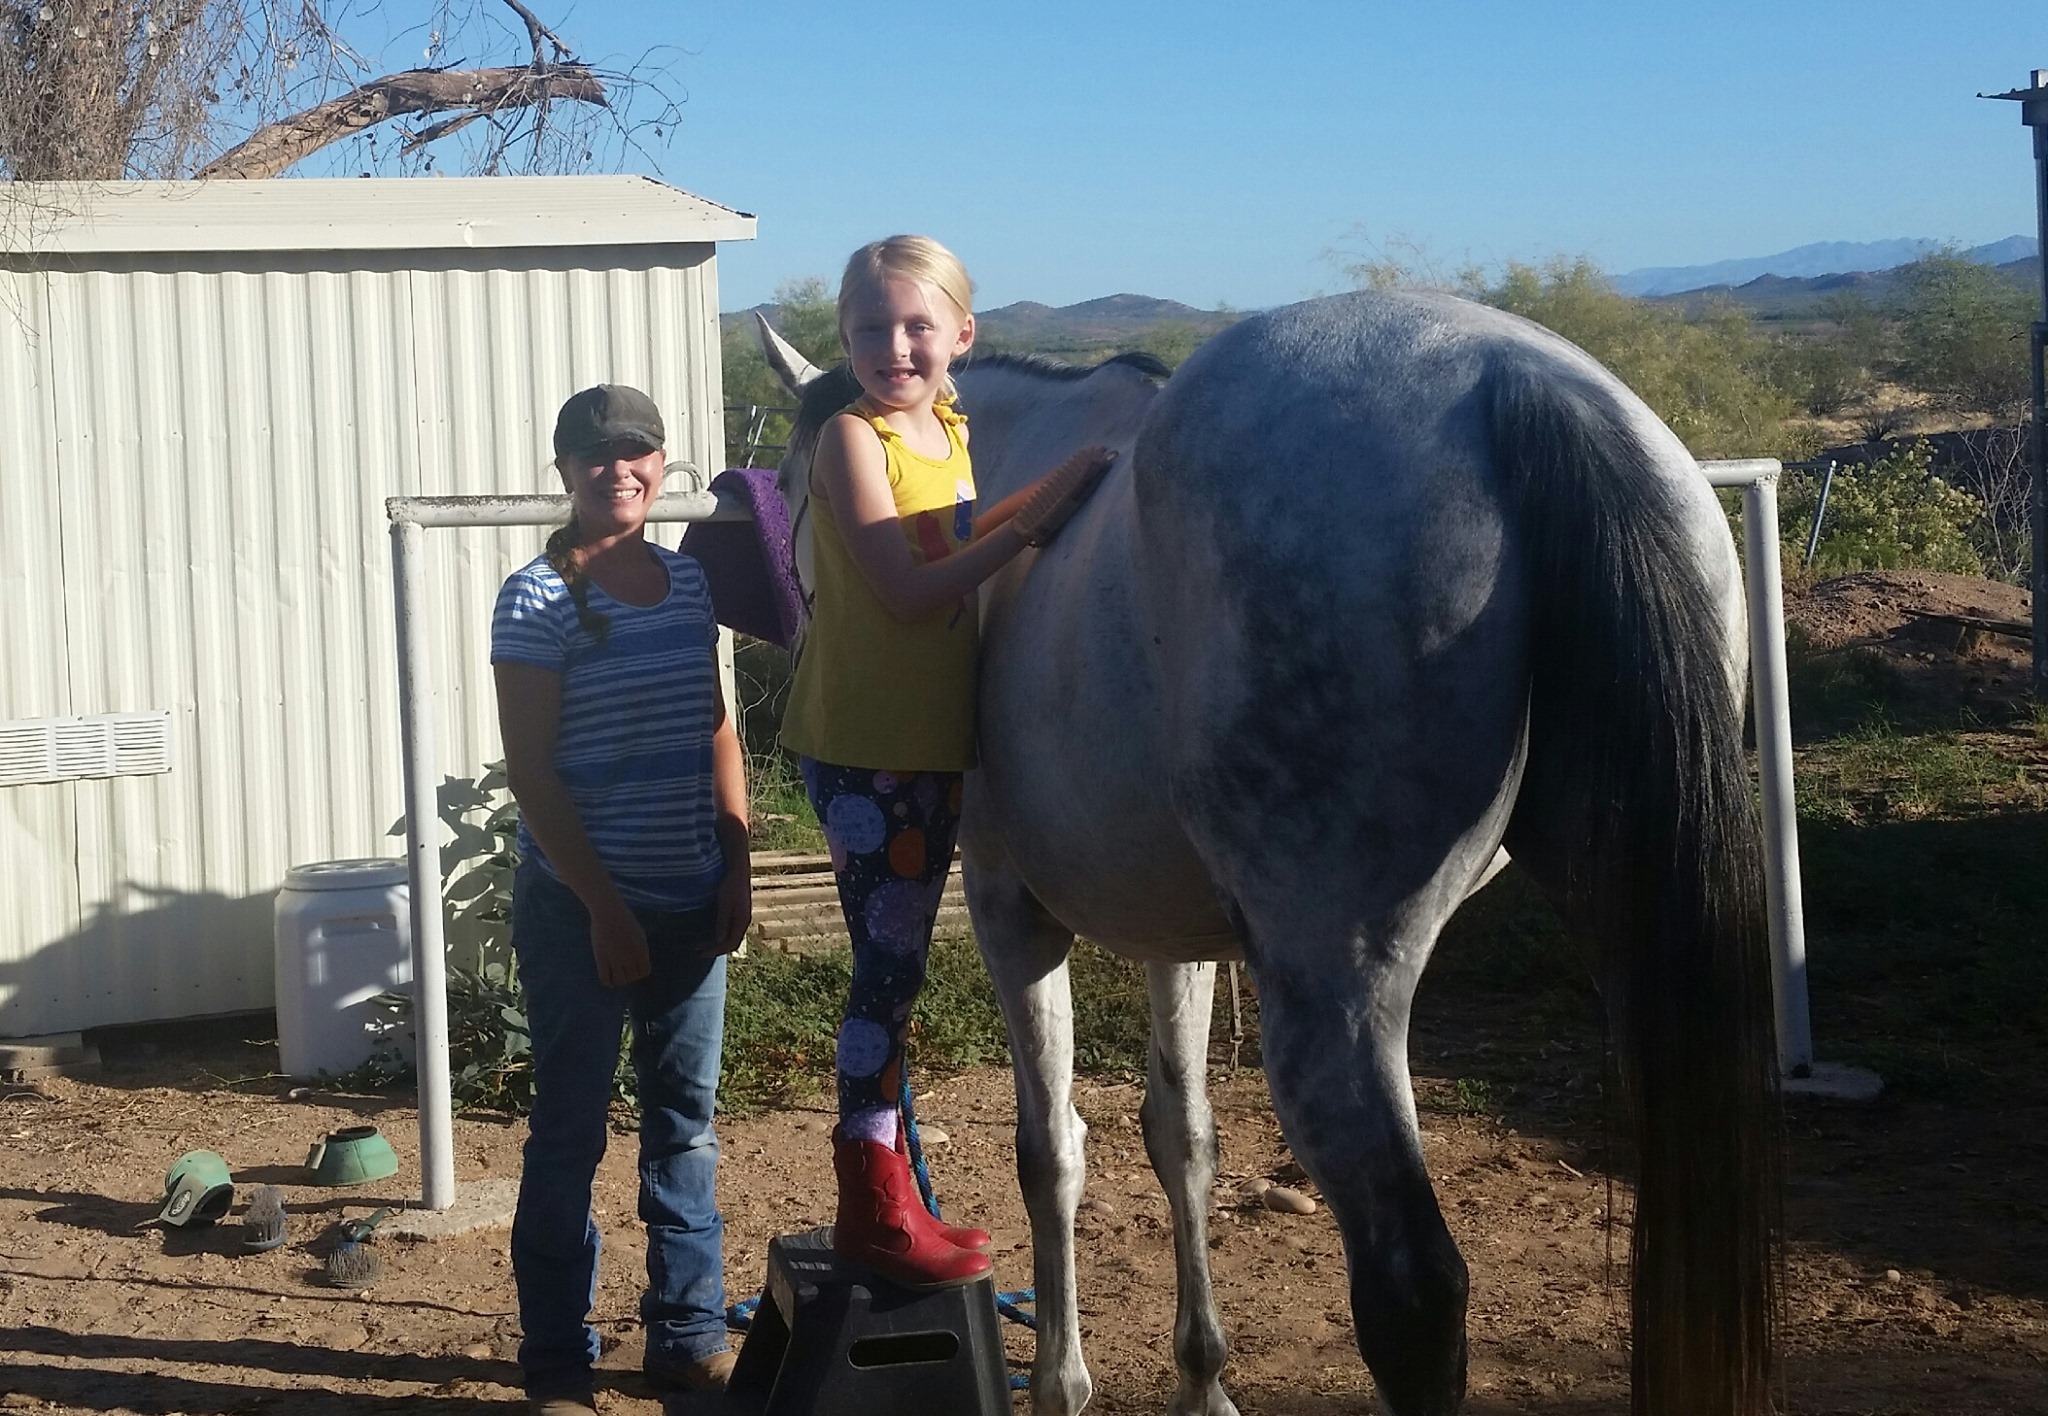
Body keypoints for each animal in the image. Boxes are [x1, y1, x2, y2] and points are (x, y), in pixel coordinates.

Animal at [756, 289, 1779, 1416]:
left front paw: (1060, 1382)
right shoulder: (1180, 937)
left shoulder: (1007, 909)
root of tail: (1517, 380)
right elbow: (1183, 1138)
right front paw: (1203, 1382)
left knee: (1413, 1291)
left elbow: (1050, 1148)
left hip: (1332, 987)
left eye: (799, 487)